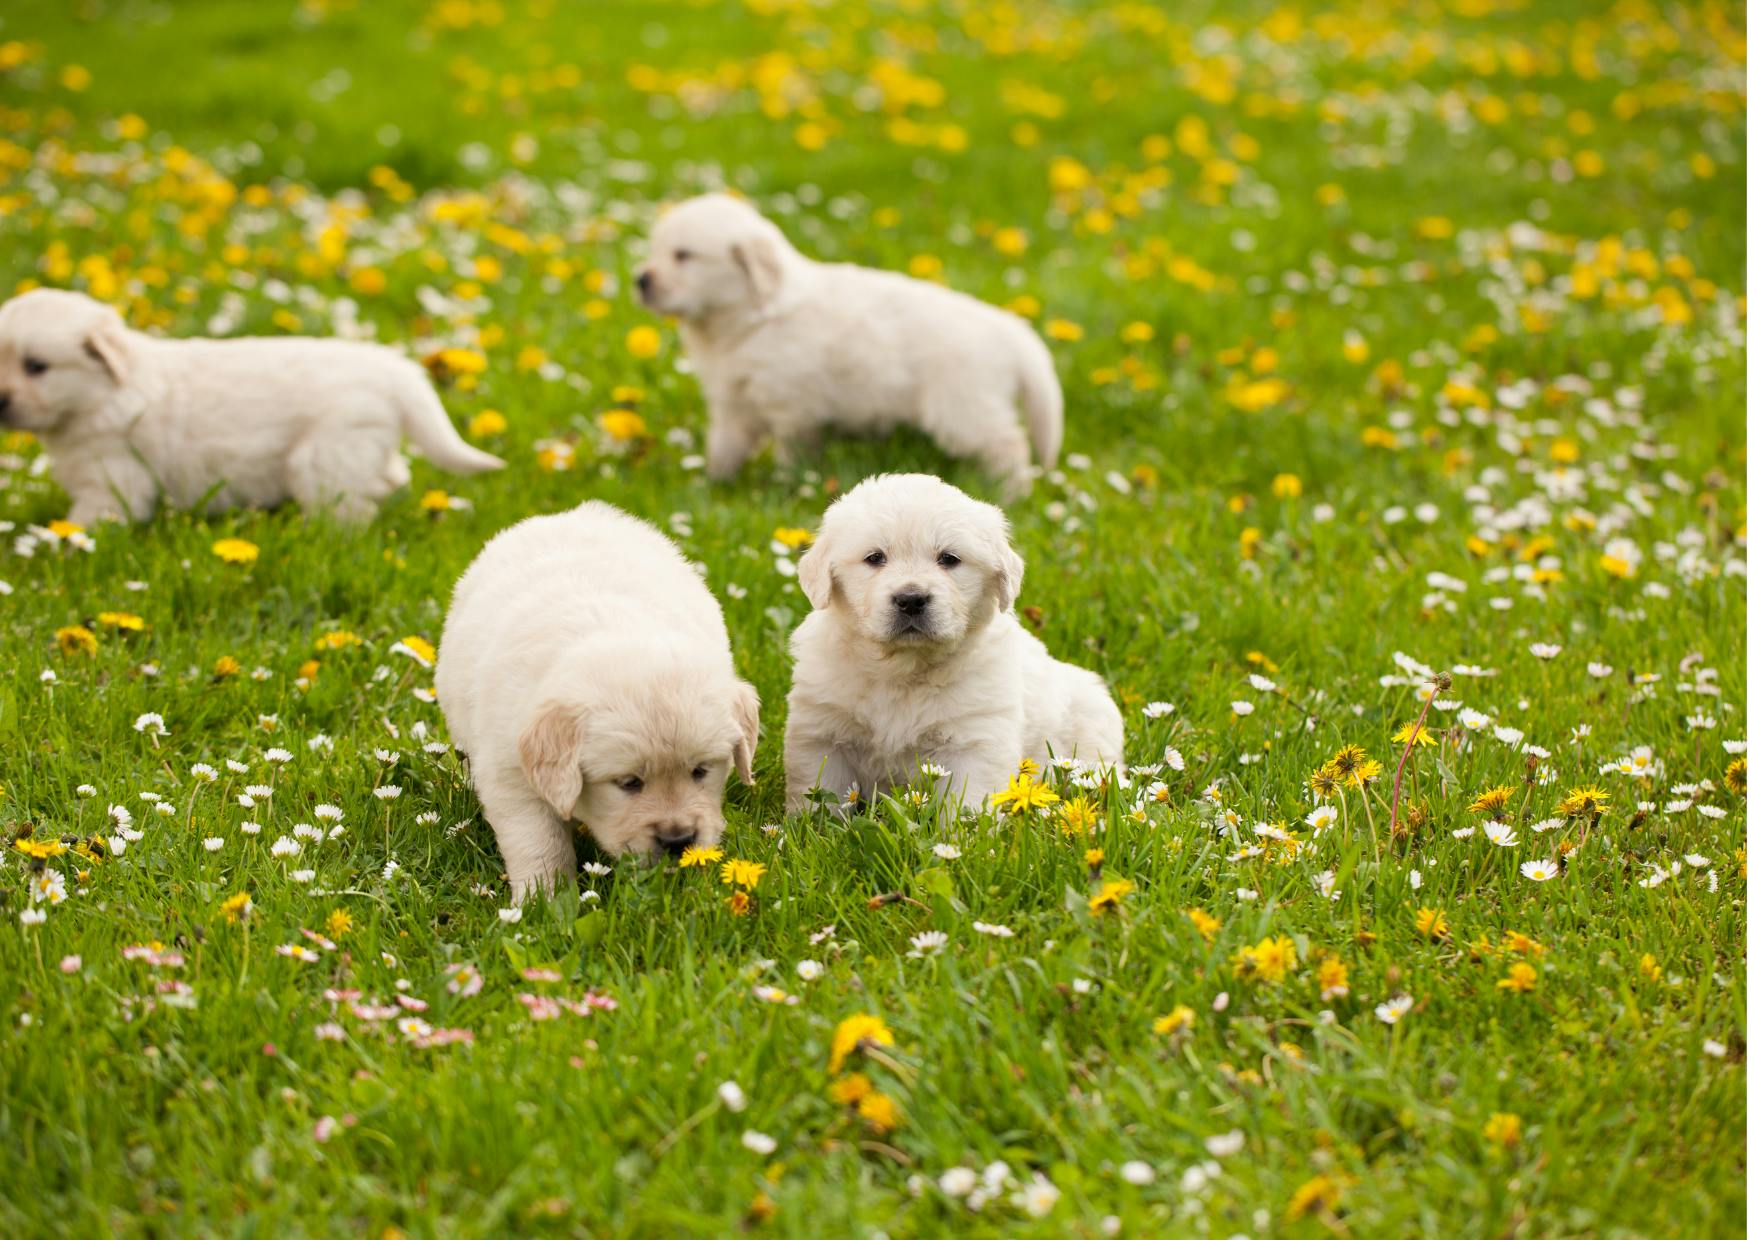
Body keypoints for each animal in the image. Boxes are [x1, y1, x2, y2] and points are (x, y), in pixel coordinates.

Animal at [0, 286, 506, 521]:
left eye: (36, 367)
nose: (1, 401)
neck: (106, 391)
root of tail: (393, 367)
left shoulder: (111, 480)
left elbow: (86, 522)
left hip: (326, 455)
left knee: (349, 508)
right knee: (389, 477)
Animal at [435, 503, 758, 902]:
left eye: (700, 771)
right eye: (628, 783)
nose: (678, 840)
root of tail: (568, 514)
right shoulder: (510, 773)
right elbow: (538, 842)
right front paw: (542, 901)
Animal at [636, 190, 1055, 500]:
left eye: (683, 255)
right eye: (655, 251)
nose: (640, 279)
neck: (750, 316)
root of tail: (1009, 327)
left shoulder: (793, 406)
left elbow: (791, 451)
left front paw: (786, 484)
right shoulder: (731, 402)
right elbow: (725, 447)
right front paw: (713, 485)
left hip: (963, 406)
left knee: (1008, 444)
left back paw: (1011, 493)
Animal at [783, 468, 1118, 808]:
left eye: (949, 558)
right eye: (875, 558)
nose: (911, 600)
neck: (903, 669)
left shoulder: (976, 741)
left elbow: (967, 806)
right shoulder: (822, 735)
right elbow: (821, 797)